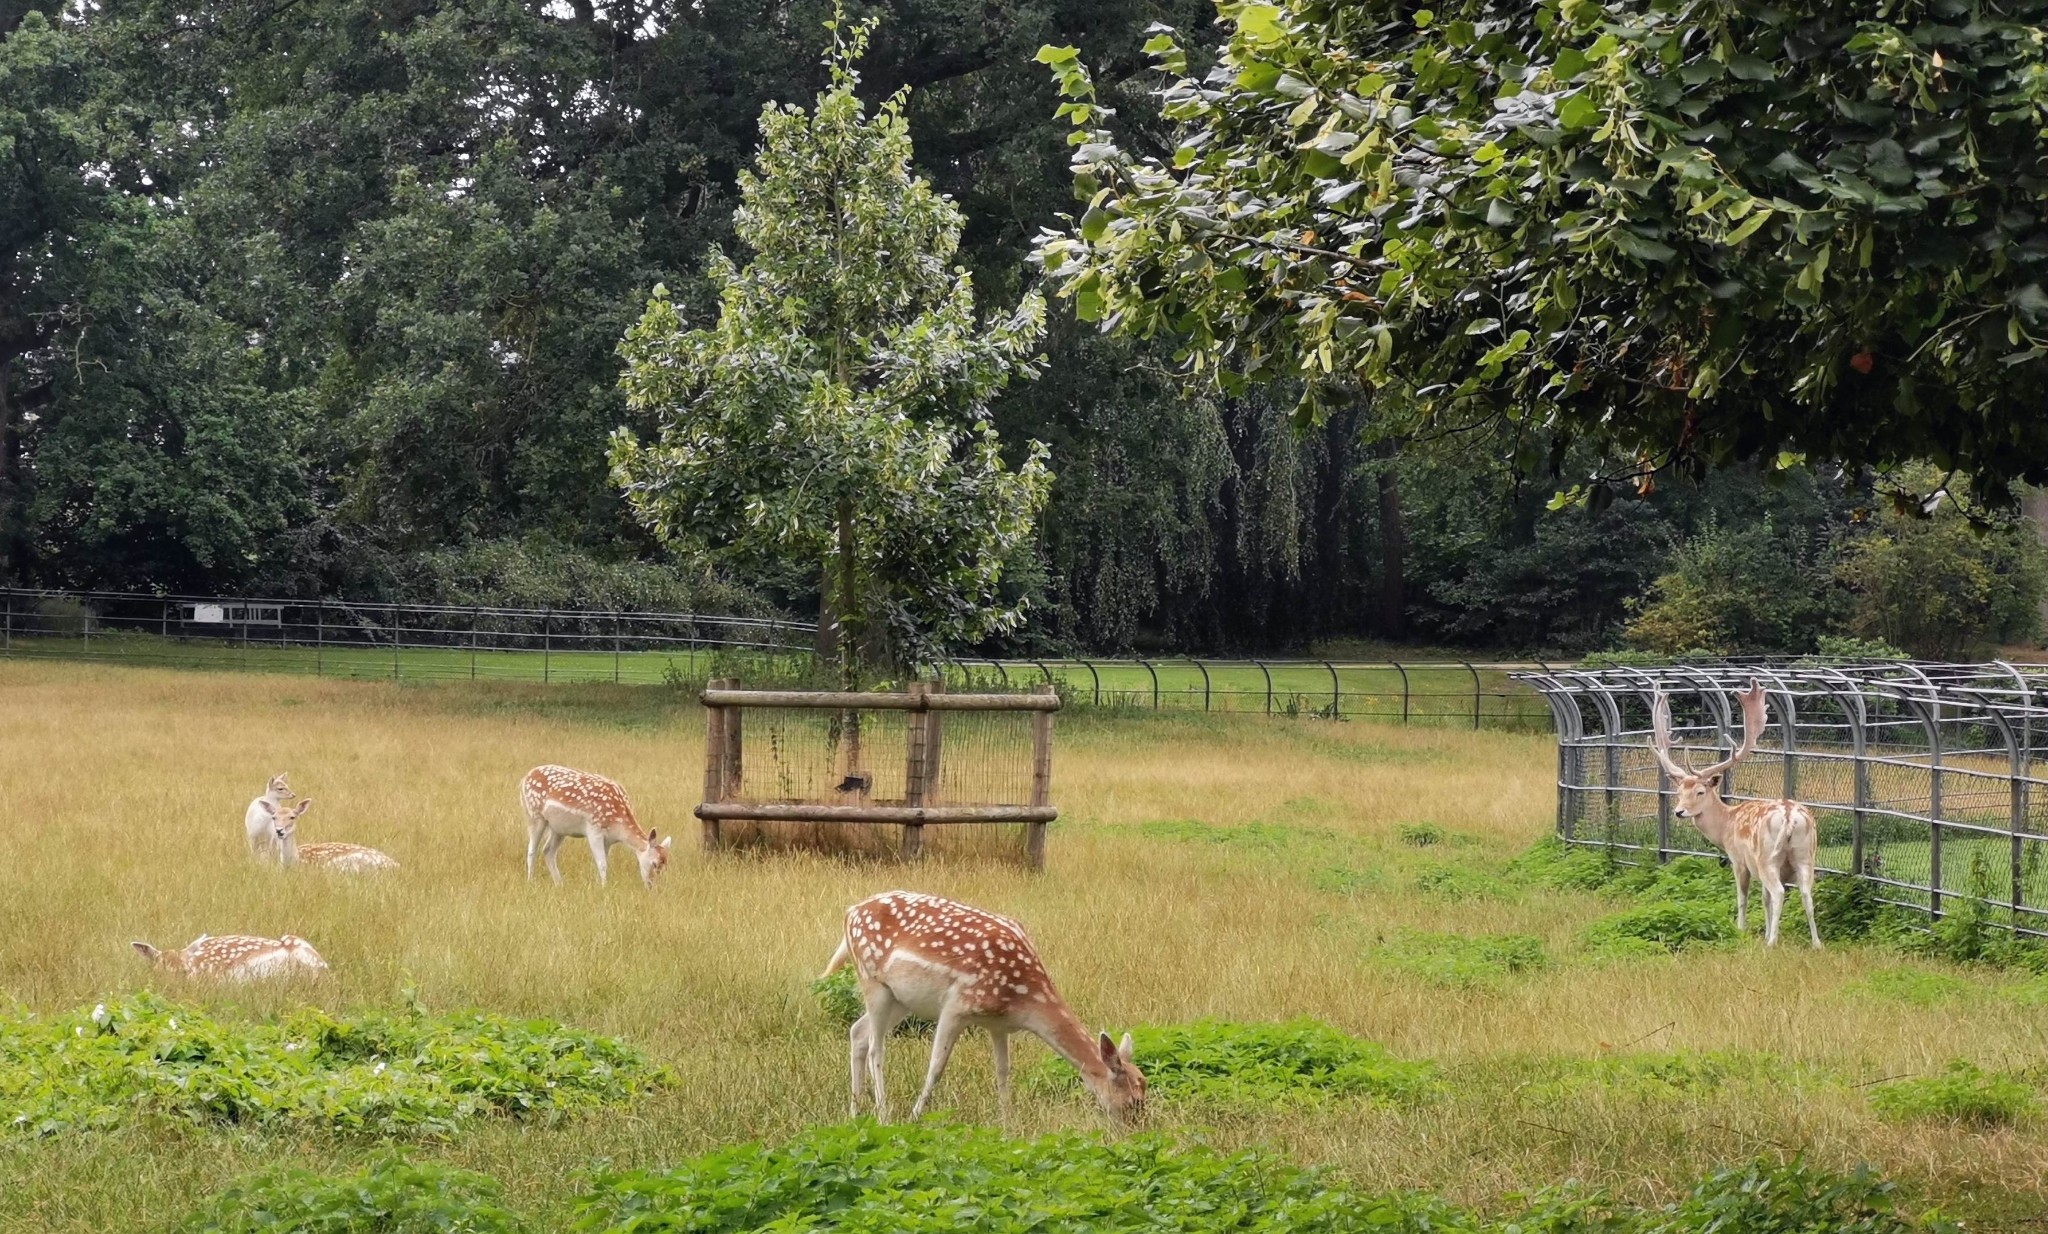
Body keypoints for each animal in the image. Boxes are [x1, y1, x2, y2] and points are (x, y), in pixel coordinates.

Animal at [520, 761, 671, 888]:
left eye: (666, 864)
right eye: (654, 863)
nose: (653, 886)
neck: (618, 826)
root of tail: (525, 778)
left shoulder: (608, 839)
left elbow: (602, 863)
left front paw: (599, 885)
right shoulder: (594, 829)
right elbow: (602, 864)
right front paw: (604, 888)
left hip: (559, 828)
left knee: (548, 850)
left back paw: (560, 883)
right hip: (535, 815)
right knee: (532, 850)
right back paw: (531, 882)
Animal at [815, 892, 1146, 1121]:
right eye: (1134, 1101)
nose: (1137, 1131)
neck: (1024, 998)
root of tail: (850, 912)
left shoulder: (999, 1025)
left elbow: (1003, 1071)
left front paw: (1008, 1123)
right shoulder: (957, 1005)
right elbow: (936, 1067)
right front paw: (914, 1118)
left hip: (901, 999)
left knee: (858, 1032)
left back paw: (856, 1113)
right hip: (873, 981)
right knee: (875, 1047)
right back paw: (883, 1115)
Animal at [1646, 679, 1826, 949]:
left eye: (1700, 791)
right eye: (1679, 791)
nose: (1679, 812)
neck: (1726, 825)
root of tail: (1789, 817)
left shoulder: (1739, 859)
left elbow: (1743, 896)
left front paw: (1741, 929)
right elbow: (1764, 899)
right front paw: (1764, 930)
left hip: (1767, 857)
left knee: (1779, 892)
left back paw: (1771, 942)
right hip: (1806, 855)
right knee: (1806, 893)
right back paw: (1816, 943)